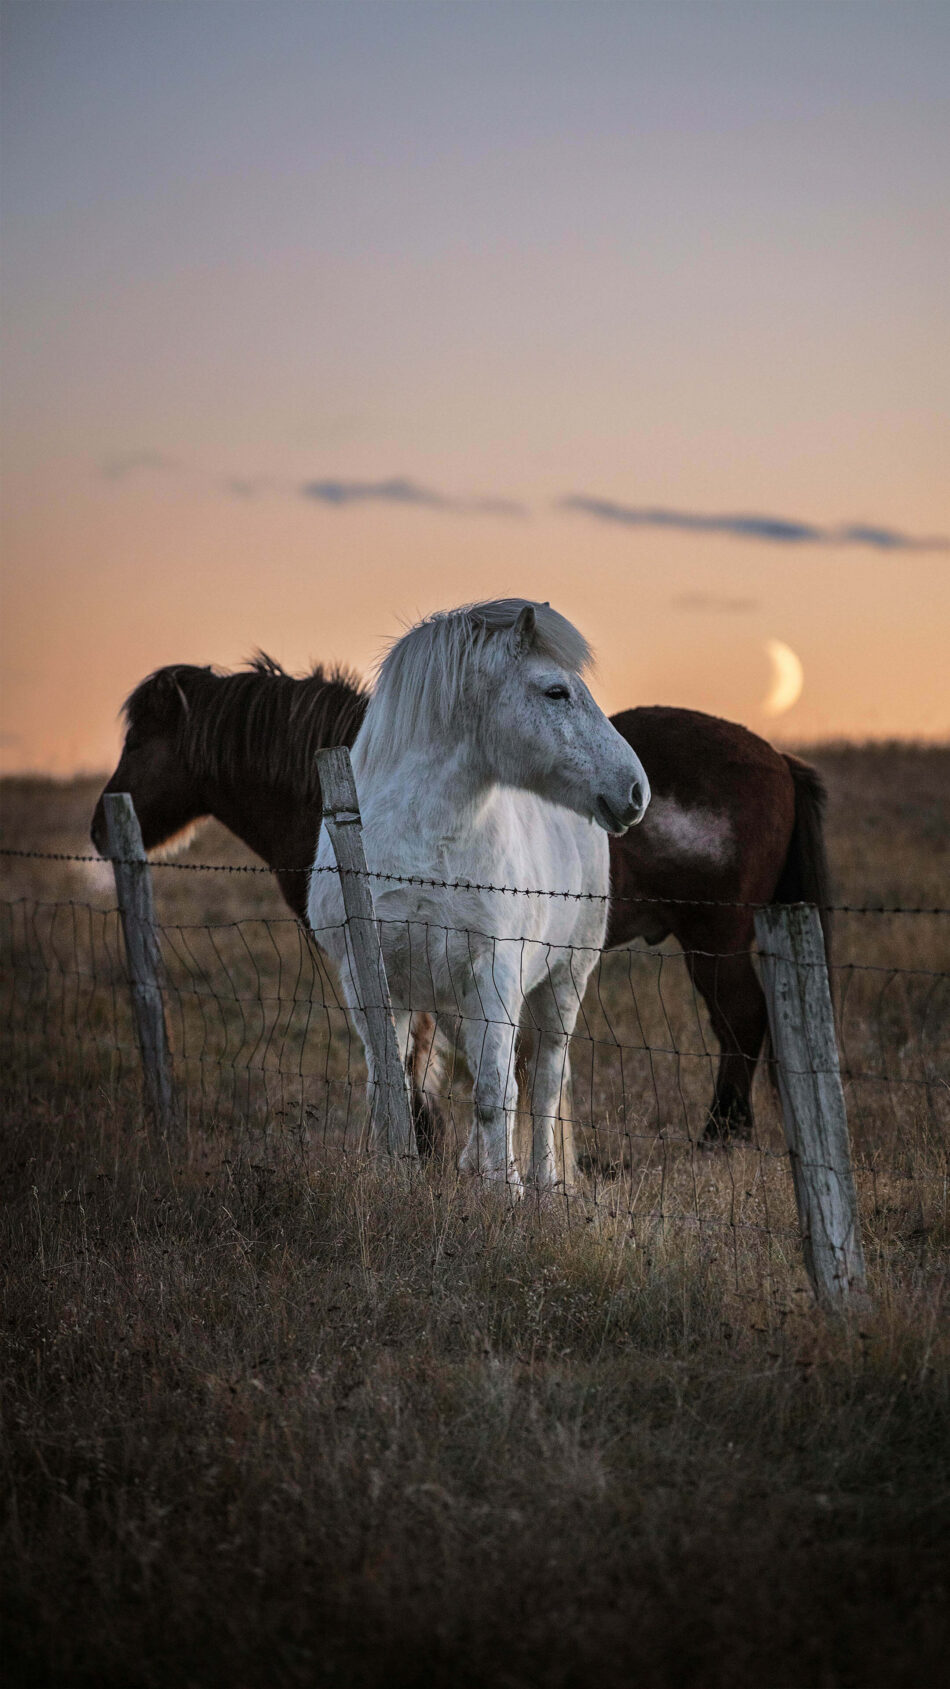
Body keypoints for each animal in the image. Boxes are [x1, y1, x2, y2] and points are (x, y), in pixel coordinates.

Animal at [92, 651, 824, 1141]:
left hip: (714, 942)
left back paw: (721, 1134)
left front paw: (424, 1137)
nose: (99, 825)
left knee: (741, 1024)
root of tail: (780, 761)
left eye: (138, 739)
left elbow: (416, 1054)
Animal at [307, 601, 645, 1195]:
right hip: (456, 1002)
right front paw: (391, 1178)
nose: (635, 790)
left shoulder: (495, 971)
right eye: (556, 692)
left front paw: (502, 1195)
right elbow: (387, 1087)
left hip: (562, 982)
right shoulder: (370, 977)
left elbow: (496, 1094)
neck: (423, 840)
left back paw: (541, 1185)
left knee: (542, 1081)